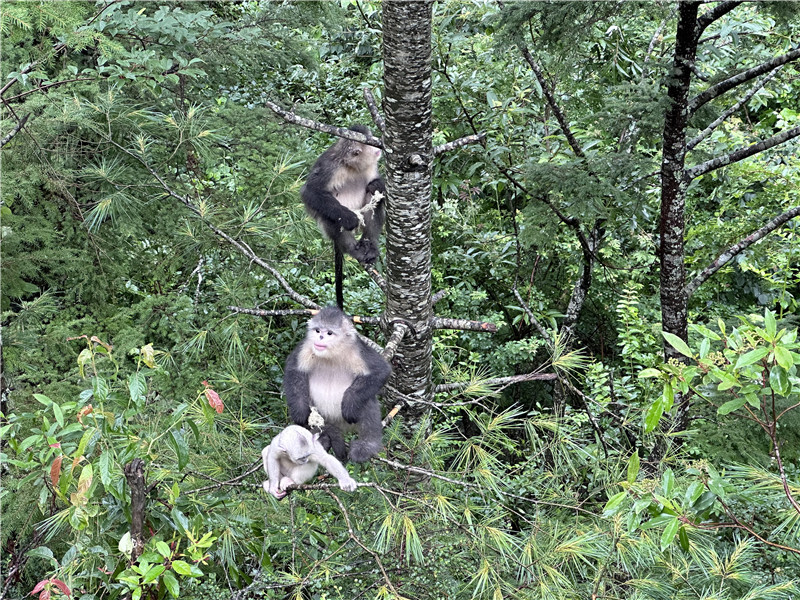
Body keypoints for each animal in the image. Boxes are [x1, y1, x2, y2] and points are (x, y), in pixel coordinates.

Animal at [284, 304, 390, 464]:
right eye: (317, 330)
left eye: (329, 333)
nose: (320, 337)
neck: (332, 355)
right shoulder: (306, 347)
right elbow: (293, 370)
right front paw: (300, 412)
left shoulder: (358, 349)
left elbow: (381, 371)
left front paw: (350, 403)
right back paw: (320, 441)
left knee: (367, 402)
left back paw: (367, 445)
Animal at [302, 123, 386, 310]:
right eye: (369, 143)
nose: (377, 146)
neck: (351, 166)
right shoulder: (330, 166)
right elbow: (310, 192)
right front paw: (348, 218)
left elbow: (376, 188)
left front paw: (378, 184)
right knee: (329, 216)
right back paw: (352, 249)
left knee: (373, 197)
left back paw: (369, 245)